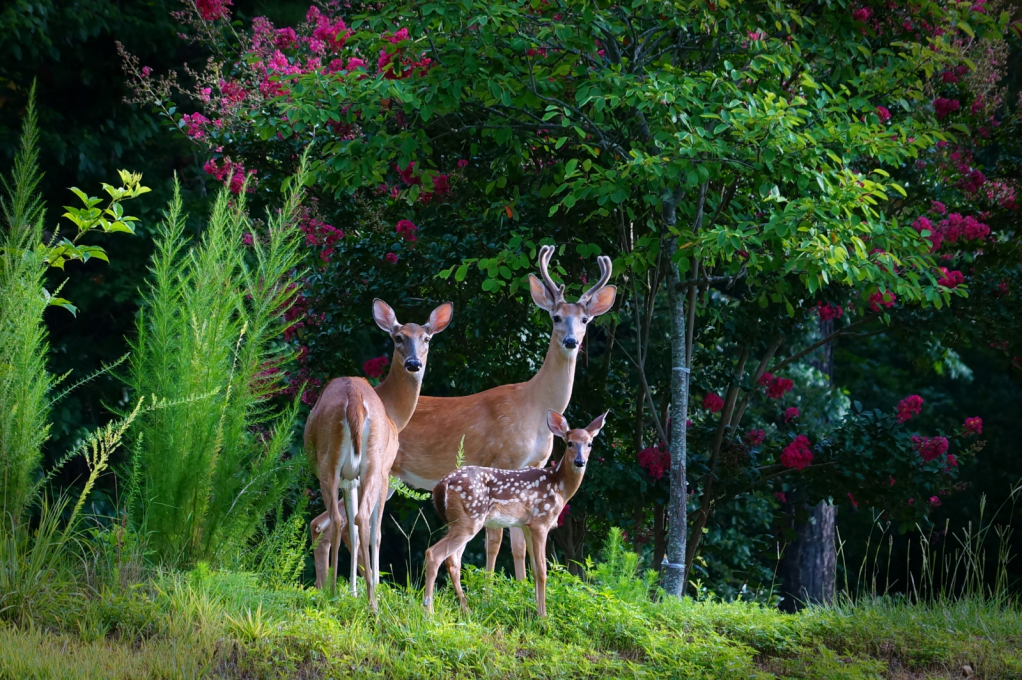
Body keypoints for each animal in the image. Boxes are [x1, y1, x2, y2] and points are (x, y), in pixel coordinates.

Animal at [304, 296, 453, 605]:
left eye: (427, 338)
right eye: (398, 338)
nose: (413, 363)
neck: (394, 411)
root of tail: (354, 401)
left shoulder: (352, 478)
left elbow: (352, 526)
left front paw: (353, 590)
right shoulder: (386, 471)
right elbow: (375, 531)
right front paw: (366, 587)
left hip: (334, 465)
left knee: (340, 520)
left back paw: (334, 592)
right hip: (367, 463)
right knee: (358, 521)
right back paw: (368, 601)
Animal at [423, 404, 605, 617]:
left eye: (589, 444)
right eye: (569, 443)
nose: (579, 462)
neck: (559, 487)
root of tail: (442, 485)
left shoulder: (525, 525)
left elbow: (533, 568)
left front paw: (534, 610)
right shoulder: (540, 522)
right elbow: (542, 570)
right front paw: (543, 616)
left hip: (458, 521)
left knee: (453, 560)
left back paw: (467, 610)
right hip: (469, 518)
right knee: (434, 554)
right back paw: (429, 612)